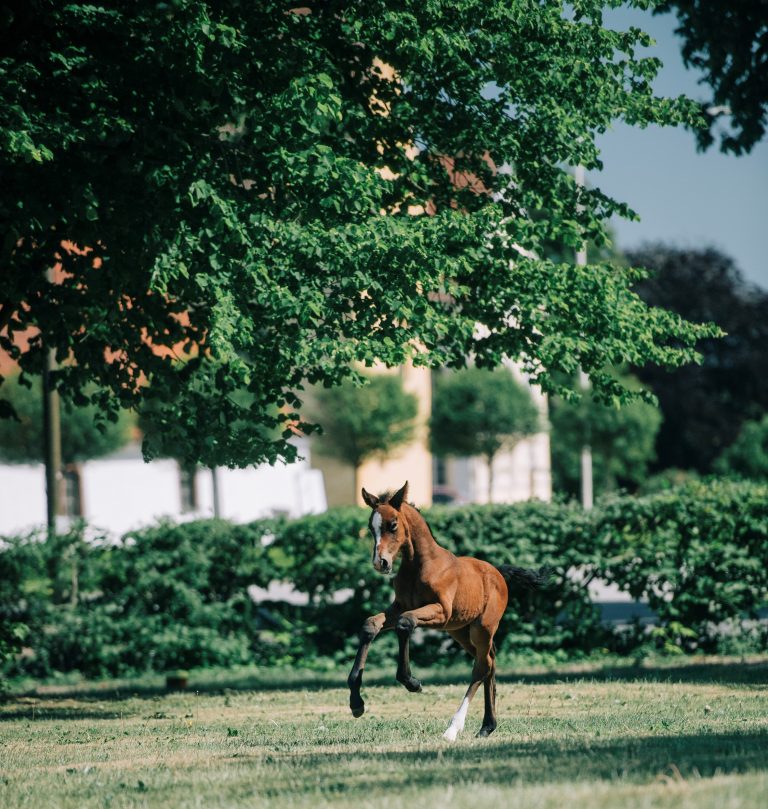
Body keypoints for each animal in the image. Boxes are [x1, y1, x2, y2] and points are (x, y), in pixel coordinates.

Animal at [348, 480, 544, 740]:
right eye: (371, 528)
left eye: (393, 525)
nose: (380, 563)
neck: (418, 566)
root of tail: (498, 573)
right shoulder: (400, 606)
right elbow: (371, 624)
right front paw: (356, 703)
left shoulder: (441, 612)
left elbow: (405, 623)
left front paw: (411, 682)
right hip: (460, 631)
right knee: (490, 662)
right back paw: (487, 726)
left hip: (482, 628)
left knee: (481, 667)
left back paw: (453, 728)